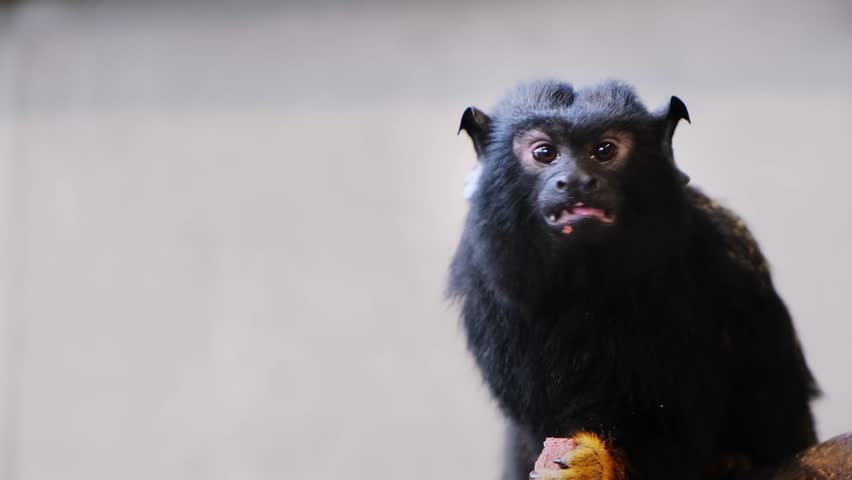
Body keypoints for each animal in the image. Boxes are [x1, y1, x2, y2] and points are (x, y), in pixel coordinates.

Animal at [448, 80, 819, 480]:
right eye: (545, 152)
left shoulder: (723, 261)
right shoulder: (488, 297)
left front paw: (595, 463)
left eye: (604, 150)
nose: (576, 181)